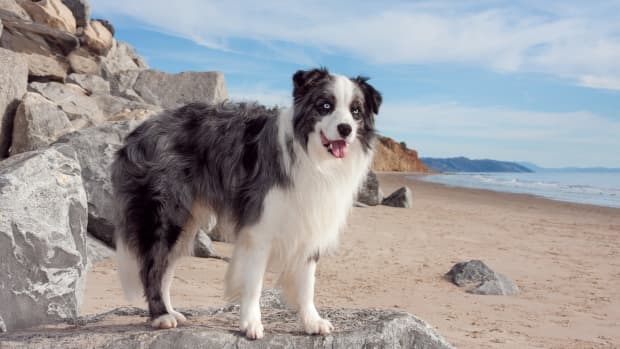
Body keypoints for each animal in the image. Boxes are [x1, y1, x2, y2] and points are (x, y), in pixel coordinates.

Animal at [112, 67, 382, 338]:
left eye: (356, 110)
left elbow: (307, 282)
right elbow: (253, 283)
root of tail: (136, 133)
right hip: (166, 215)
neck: (315, 160)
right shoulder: (259, 228)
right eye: (325, 105)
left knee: (166, 268)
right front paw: (251, 323)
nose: (345, 129)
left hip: (186, 221)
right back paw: (160, 316)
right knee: (152, 268)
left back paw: (170, 311)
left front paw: (312, 321)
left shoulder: (310, 223)